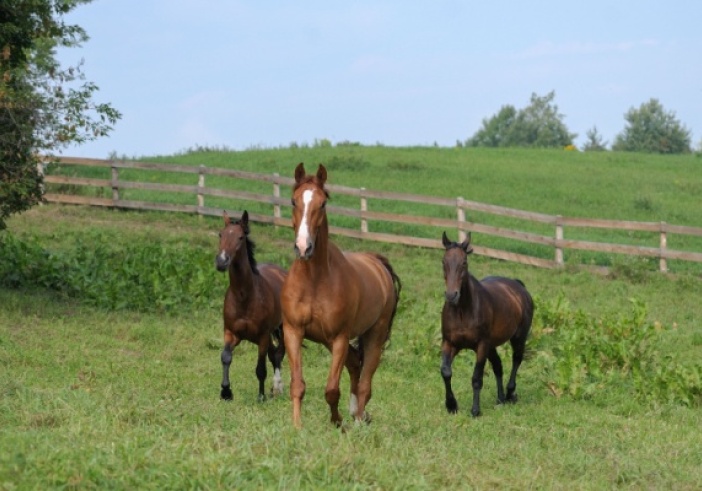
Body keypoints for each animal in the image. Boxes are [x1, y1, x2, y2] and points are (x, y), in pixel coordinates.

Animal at [215, 210, 288, 402]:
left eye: (240, 237)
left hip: (282, 328)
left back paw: (277, 387)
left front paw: (261, 396)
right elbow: (226, 357)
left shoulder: (262, 337)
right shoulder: (230, 332)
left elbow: (260, 368)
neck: (244, 297)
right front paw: (226, 391)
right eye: (220, 234)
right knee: (274, 355)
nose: (221, 261)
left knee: (279, 354)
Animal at [281, 163, 401, 429]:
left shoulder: (339, 338)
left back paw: (358, 420)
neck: (314, 281)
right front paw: (296, 426)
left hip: (374, 335)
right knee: (356, 365)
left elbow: (331, 389)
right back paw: (357, 413)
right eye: (293, 201)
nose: (303, 247)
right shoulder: (293, 331)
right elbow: (297, 385)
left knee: (365, 381)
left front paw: (338, 422)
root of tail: (377, 263)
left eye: (323, 203)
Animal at [440, 231, 534, 417]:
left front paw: (475, 410)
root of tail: (519, 286)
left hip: (518, 337)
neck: (462, 311)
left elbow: (477, 378)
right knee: (498, 365)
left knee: (516, 359)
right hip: (492, 345)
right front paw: (451, 405)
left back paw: (510, 393)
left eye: (464, 262)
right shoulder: (450, 343)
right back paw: (501, 398)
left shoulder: (481, 345)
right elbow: (446, 371)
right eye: (443, 262)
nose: (451, 295)